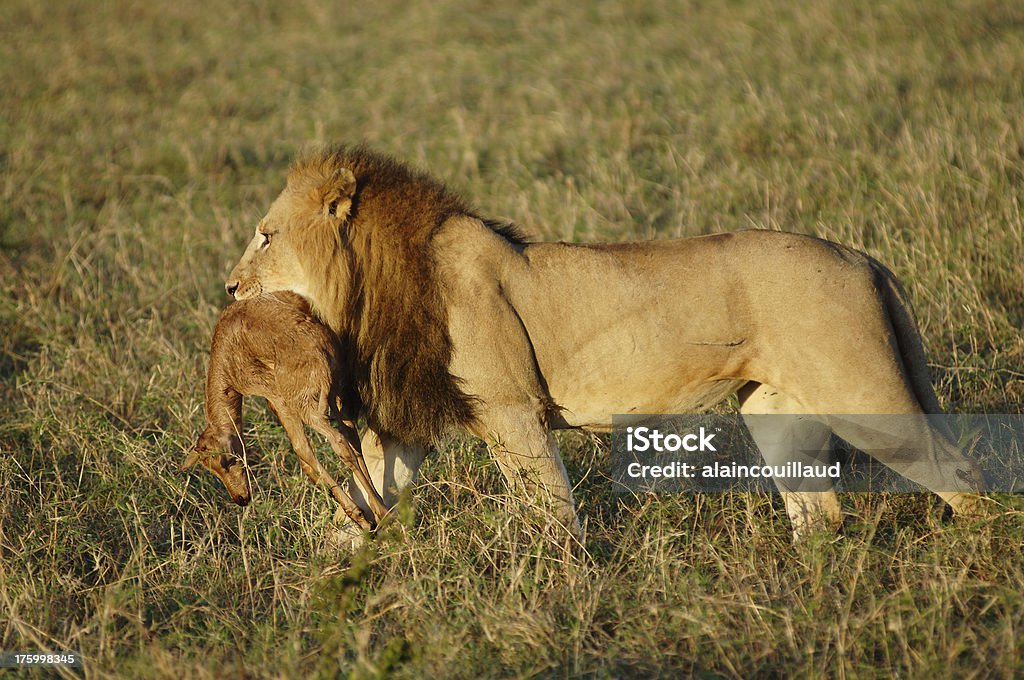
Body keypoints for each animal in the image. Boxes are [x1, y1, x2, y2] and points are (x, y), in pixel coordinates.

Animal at [180, 288, 387, 528]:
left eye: (227, 462)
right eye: (209, 468)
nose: (241, 499)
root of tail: (321, 352)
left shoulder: (275, 398)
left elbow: (302, 451)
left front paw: (360, 517)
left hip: (306, 407)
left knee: (338, 443)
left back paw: (376, 515)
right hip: (337, 394)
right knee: (352, 438)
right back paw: (379, 509)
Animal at [224, 146, 983, 540]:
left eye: (265, 236)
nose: (229, 288)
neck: (368, 286)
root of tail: (860, 256)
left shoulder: (511, 411)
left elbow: (550, 509)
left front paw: (556, 586)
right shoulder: (407, 427)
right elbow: (360, 503)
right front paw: (329, 587)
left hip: (863, 392)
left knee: (958, 471)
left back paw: (981, 554)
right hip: (773, 407)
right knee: (819, 511)